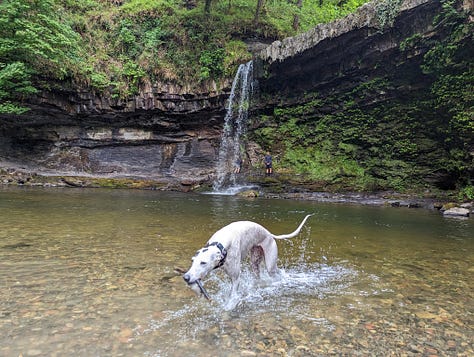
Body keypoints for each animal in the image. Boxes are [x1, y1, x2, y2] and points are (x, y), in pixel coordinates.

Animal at [183, 214, 312, 298]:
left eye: (203, 262)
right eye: (192, 261)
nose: (186, 277)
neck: (220, 244)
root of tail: (269, 234)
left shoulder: (235, 278)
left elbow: (232, 297)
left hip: (270, 265)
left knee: (277, 273)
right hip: (255, 261)